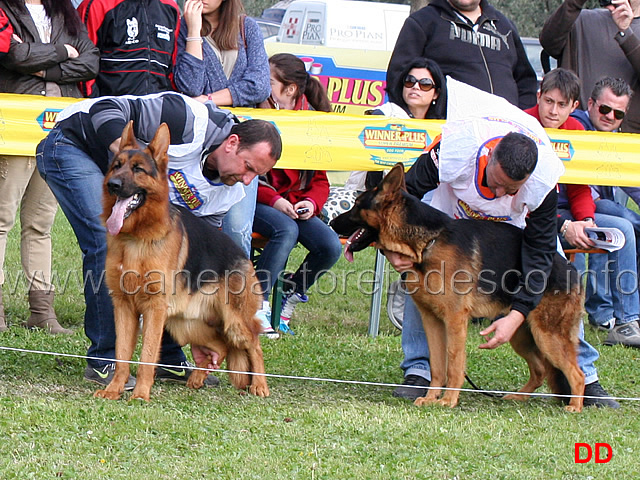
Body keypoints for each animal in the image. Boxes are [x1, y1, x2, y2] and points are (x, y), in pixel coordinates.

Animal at [95, 121, 268, 402]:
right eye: (116, 166)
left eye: (138, 169)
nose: (113, 184)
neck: (137, 237)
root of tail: (243, 255)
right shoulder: (123, 307)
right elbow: (121, 356)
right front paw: (114, 389)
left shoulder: (153, 310)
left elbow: (146, 356)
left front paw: (140, 394)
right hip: (185, 324)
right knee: (220, 345)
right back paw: (198, 377)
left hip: (234, 323)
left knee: (254, 344)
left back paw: (260, 385)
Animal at [332, 165, 588, 412]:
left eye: (357, 205)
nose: (332, 223)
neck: (428, 244)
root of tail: (571, 270)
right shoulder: (432, 321)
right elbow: (437, 366)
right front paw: (431, 397)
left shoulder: (455, 320)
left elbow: (454, 363)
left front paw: (448, 400)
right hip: (521, 335)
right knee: (540, 370)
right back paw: (518, 397)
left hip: (547, 336)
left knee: (577, 374)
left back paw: (575, 406)